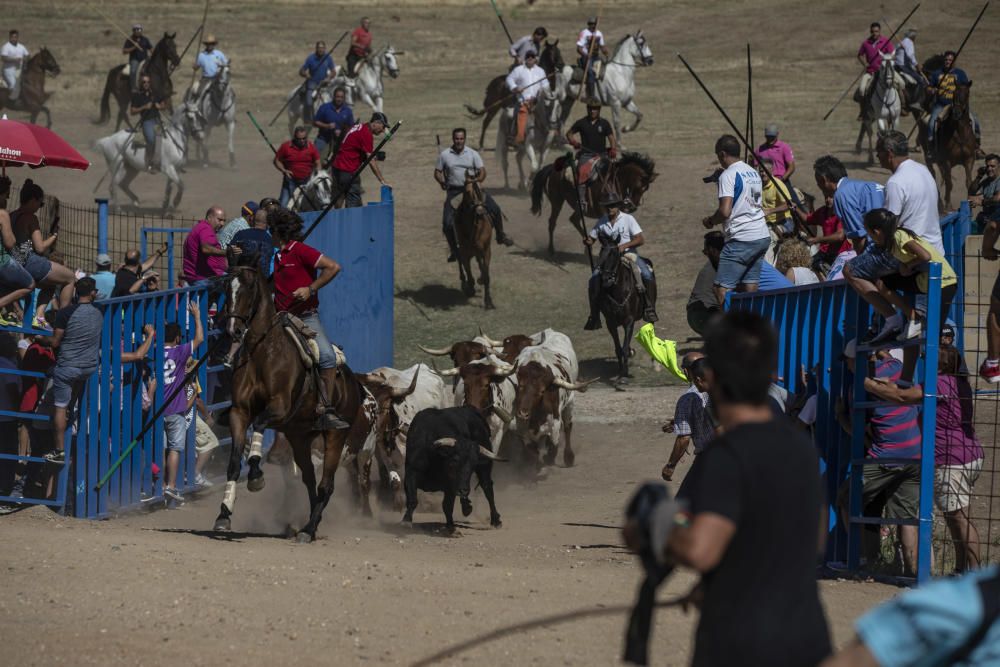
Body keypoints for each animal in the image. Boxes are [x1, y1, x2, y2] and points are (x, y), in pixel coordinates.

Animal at [217, 260, 388, 544]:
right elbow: (232, 464)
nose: (234, 329)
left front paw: (255, 475)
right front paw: (224, 514)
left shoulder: (279, 407)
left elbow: (260, 424)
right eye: (225, 288)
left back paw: (308, 529)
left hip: (336, 438)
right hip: (299, 438)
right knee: (309, 480)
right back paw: (310, 524)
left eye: (249, 288)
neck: (263, 352)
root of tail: (356, 385)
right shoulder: (239, 413)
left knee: (326, 484)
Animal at [456, 171, 498, 310]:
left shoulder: (486, 251)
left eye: (481, 189)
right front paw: (470, 287)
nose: (480, 212)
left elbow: (486, 275)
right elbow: (469, 272)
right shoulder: (465, 253)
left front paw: (488, 301)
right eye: (468, 191)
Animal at [528, 153, 660, 258]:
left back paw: (587, 249)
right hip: (557, 201)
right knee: (552, 222)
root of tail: (552, 168)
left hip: (578, 208)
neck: (613, 182)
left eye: (646, 189)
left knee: (574, 219)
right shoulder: (604, 212)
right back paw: (551, 250)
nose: (633, 207)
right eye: (639, 186)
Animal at [592, 234, 648, 380]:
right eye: (601, 253)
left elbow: (624, 348)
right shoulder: (611, 322)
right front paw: (620, 370)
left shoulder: (629, 321)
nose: (606, 279)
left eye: (615, 254)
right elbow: (618, 348)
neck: (617, 292)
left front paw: (624, 374)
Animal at [920, 81, 976, 211]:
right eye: (954, 94)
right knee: (934, 176)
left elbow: (968, 182)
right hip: (929, 159)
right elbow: (950, 183)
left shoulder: (969, 159)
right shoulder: (947, 161)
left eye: (967, 94)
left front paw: (969, 204)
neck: (959, 133)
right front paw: (949, 205)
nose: (956, 113)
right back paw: (940, 203)